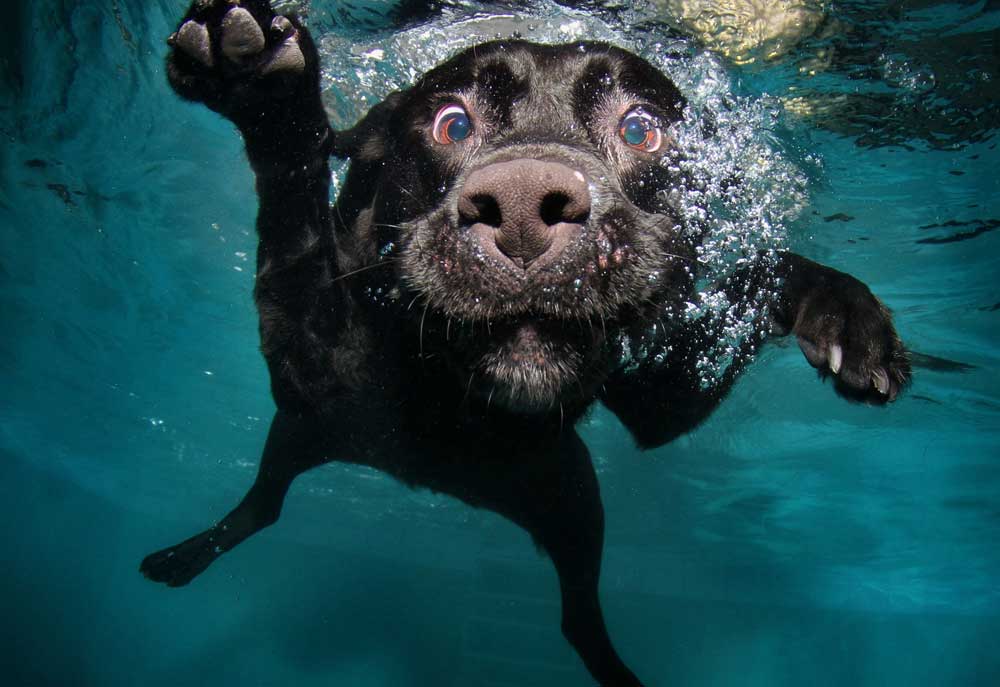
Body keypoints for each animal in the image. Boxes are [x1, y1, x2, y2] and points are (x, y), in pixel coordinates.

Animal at [143, 2, 916, 684]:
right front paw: (264, 85)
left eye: (640, 130)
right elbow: (295, 217)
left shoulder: (661, 400)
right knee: (265, 504)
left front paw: (843, 311)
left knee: (577, 618)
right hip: (304, 434)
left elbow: (761, 274)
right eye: (452, 123)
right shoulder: (311, 361)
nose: (519, 206)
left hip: (573, 501)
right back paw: (183, 558)